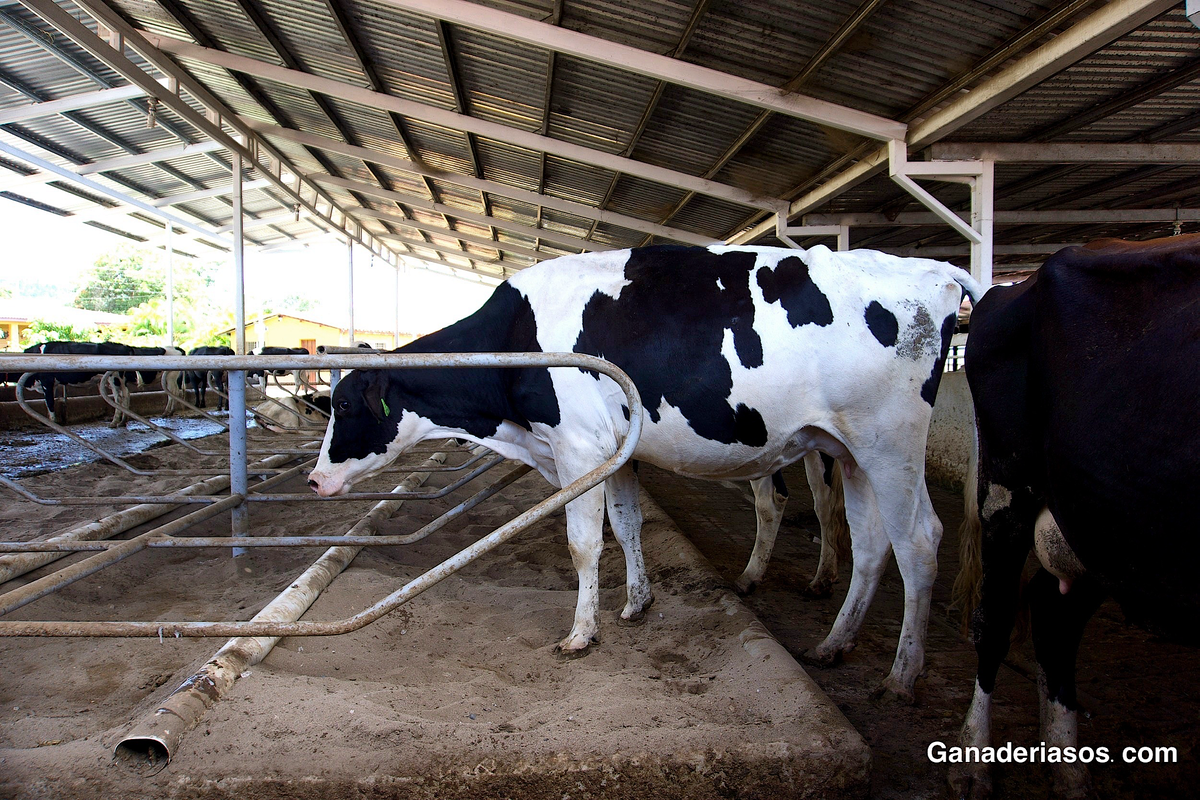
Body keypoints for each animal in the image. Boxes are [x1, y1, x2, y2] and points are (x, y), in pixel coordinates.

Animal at [308, 244, 985, 699]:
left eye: (345, 407)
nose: (315, 482)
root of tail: (928, 269)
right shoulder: (616, 450)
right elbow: (626, 524)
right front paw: (637, 604)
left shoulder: (579, 447)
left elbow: (584, 543)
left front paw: (582, 634)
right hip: (849, 450)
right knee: (870, 544)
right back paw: (834, 644)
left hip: (890, 445)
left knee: (918, 541)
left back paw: (902, 674)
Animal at [949, 234, 1200, 799]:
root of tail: (1009, 289)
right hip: (1009, 491)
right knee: (996, 621)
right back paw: (975, 764)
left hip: (1105, 533)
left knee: (1052, 615)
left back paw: (1066, 768)